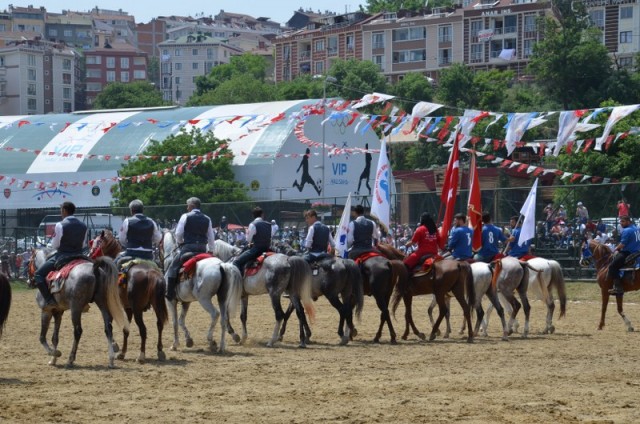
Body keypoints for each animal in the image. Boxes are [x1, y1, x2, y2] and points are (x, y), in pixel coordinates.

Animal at [91, 230, 170, 362]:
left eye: (96, 243)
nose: (89, 254)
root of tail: (152, 273)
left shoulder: (112, 304)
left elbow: (109, 323)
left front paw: (115, 345)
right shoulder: (128, 308)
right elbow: (126, 329)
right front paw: (122, 353)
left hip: (138, 310)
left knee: (143, 330)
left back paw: (141, 355)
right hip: (156, 305)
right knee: (159, 324)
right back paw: (160, 351)